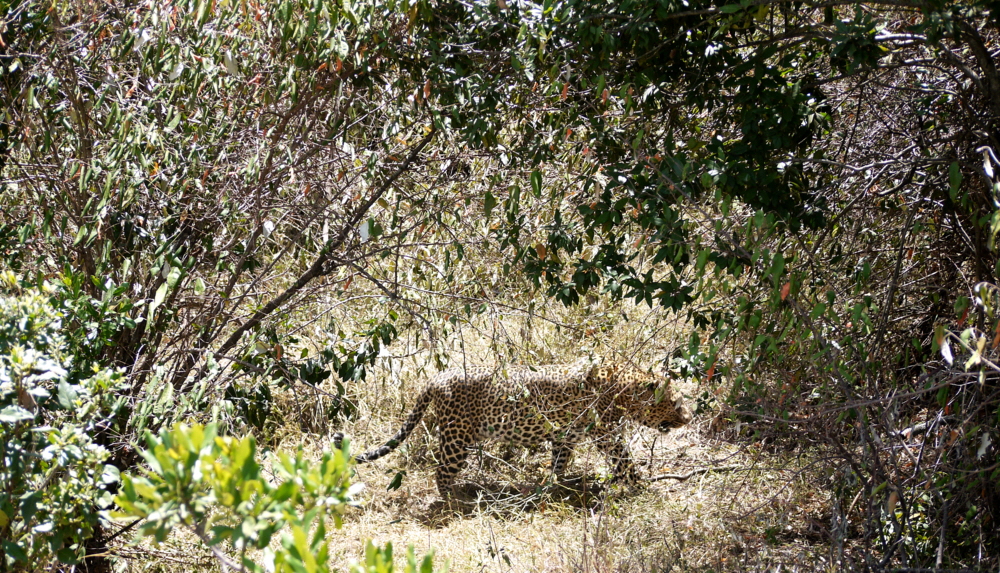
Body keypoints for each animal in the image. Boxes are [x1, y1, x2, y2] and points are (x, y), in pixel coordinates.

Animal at [332, 360, 692, 494]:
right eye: (675, 403)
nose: (688, 418)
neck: (625, 390)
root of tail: (437, 376)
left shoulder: (568, 435)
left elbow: (559, 460)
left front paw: (554, 484)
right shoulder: (607, 435)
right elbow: (624, 461)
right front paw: (642, 487)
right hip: (457, 436)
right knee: (442, 472)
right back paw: (455, 500)